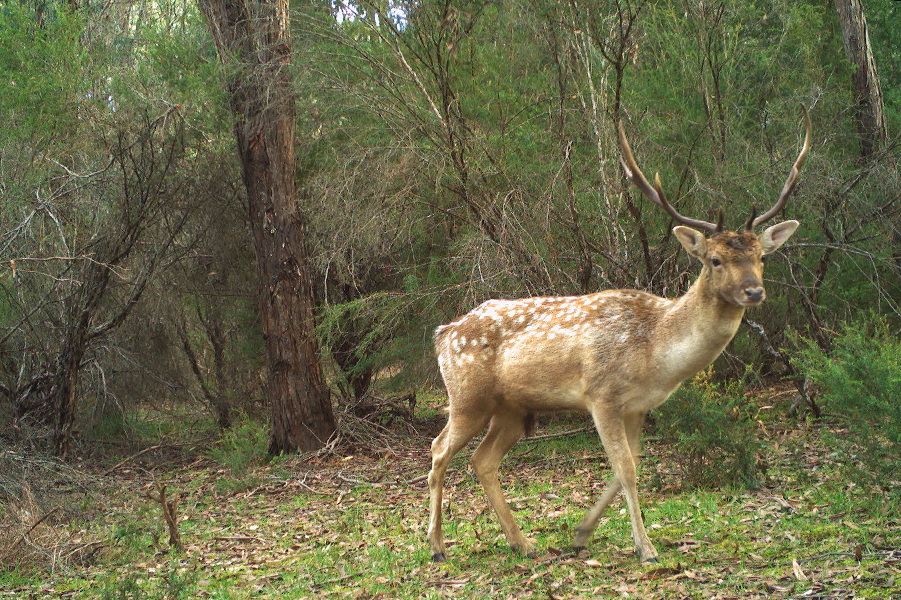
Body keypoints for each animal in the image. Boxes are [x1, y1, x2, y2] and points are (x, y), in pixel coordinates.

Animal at [426, 108, 812, 564]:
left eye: (761, 256)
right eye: (715, 260)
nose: (753, 291)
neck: (657, 354)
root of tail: (442, 333)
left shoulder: (638, 406)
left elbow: (632, 464)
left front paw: (581, 534)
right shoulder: (601, 394)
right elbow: (625, 468)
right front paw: (646, 548)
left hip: (512, 409)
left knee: (482, 460)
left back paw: (523, 543)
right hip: (468, 396)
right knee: (438, 450)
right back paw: (437, 546)